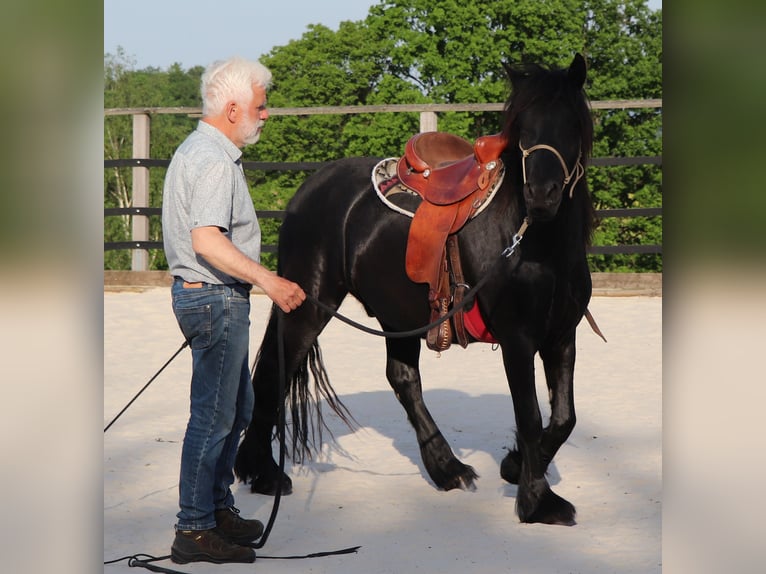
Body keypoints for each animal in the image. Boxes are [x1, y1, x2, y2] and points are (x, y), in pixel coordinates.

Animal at [237, 54, 596, 528]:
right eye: (523, 128)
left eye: (571, 124)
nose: (541, 195)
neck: (535, 242)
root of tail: (310, 188)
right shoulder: (518, 340)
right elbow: (532, 415)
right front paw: (538, 501)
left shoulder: (561, 336)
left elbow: (564, 418)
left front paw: (513, 465)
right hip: (308, 306)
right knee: (273, 373)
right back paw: (261, 474)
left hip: (398, 315)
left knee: (402, 379)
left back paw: (447, 468)